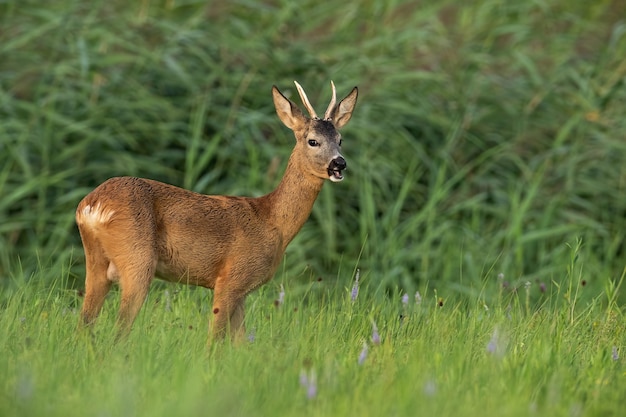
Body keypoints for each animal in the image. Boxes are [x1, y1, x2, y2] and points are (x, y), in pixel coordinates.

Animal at [74, 80, 356, 342]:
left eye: (340, 140)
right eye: (313, 141)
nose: (339, 164)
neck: (272, 222)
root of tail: (91, 205)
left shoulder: (242, 291)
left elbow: (241, 343)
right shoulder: (230, 278)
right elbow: (215, 341)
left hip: (97, 262)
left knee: (85, 323)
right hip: (137, 258)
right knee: (119, 331)